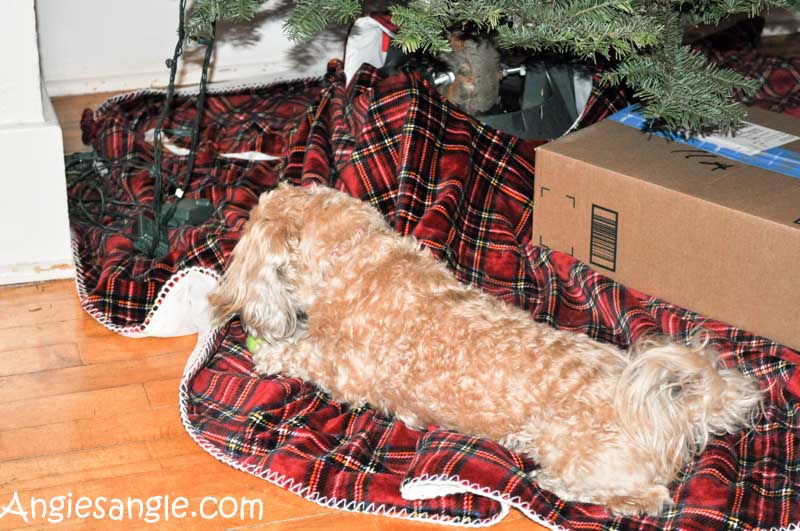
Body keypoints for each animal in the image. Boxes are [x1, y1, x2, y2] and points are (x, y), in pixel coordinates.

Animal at [209, 185, 760, 516]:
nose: (227, 306)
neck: (358, 258)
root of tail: (685, 410)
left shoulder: (349, 370)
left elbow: (305, 353)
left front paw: (271, 352)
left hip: (577, 452)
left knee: (649, 496)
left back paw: (559, 486)